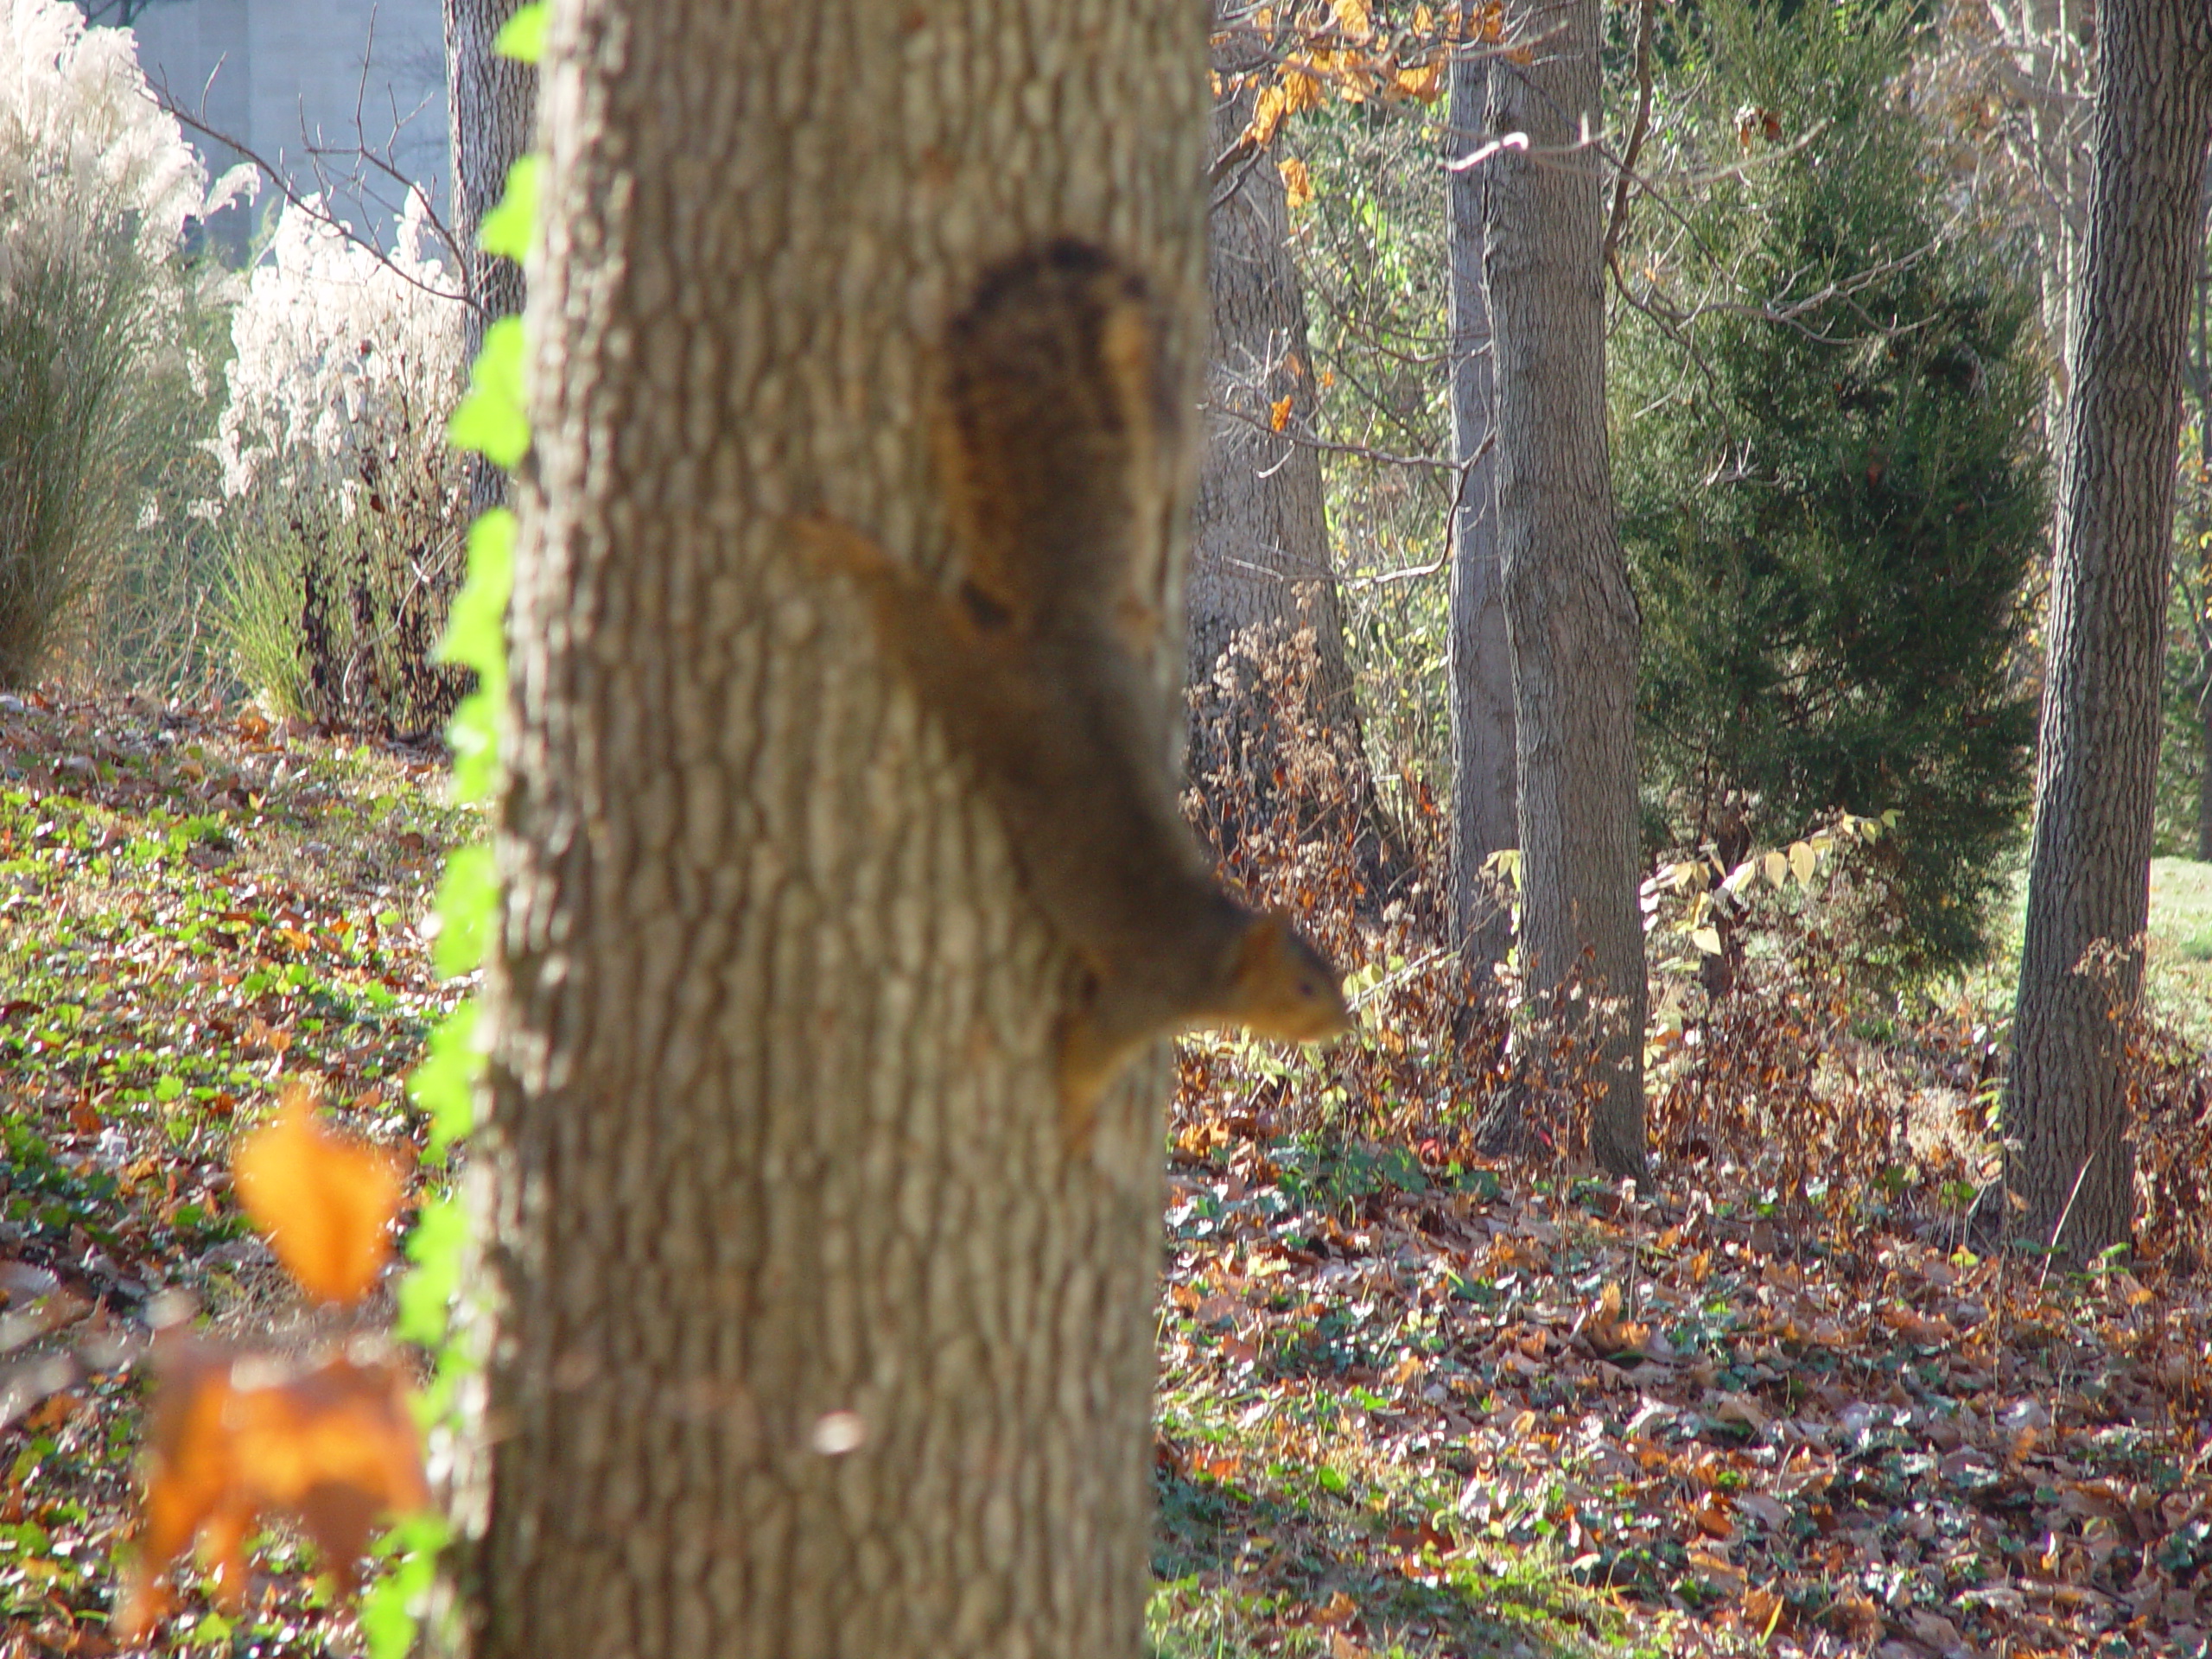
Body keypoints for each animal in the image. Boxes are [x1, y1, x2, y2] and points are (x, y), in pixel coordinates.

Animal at [796, 236, 1344, 1141]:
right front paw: (1074, 1119)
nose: (1347, 1019)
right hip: (985, 690)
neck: (1214, 950)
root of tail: (1067, 632)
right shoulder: (1146, 993)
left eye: (1332, 973)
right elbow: (1087, 1052)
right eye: (1303, 985)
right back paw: (846, 552)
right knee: (912, 624)